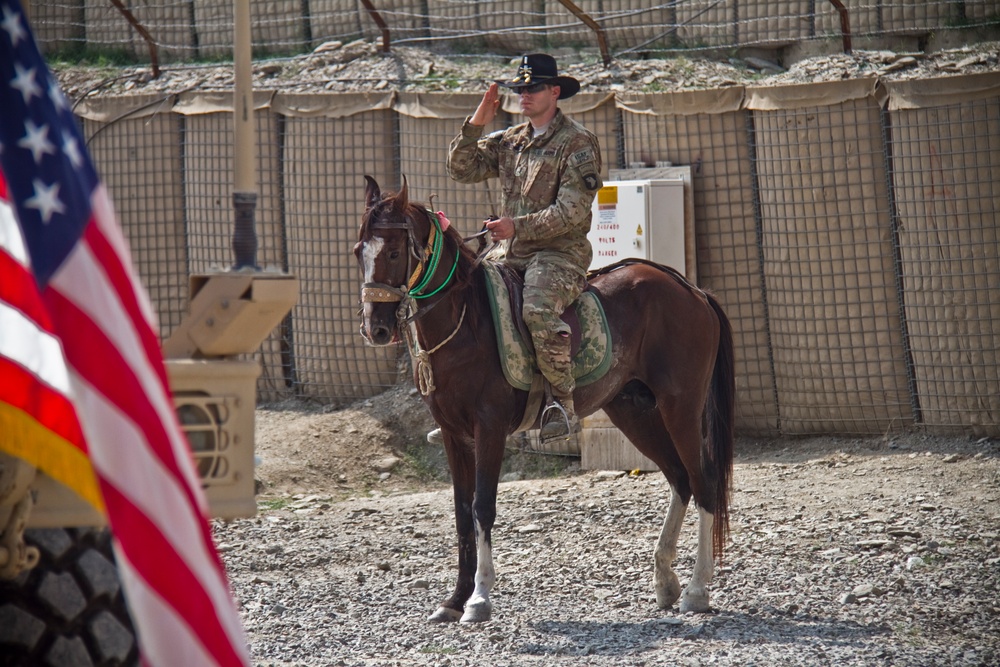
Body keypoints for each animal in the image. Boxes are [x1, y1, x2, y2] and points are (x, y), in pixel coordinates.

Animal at [354, 179, 736, 628]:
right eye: (359, 251)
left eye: (395, 252)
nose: (375, 329)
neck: (464, 321)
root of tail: (691, 289)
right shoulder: (453, 435)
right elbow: (462, 513)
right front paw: (454, 599)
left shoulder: (489, 429)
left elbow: (482, 507)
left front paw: (479, 598)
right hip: (633, 411)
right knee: (679, 478)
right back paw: (665, 581)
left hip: (681, 407)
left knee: (703, 481)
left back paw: (696, 590)